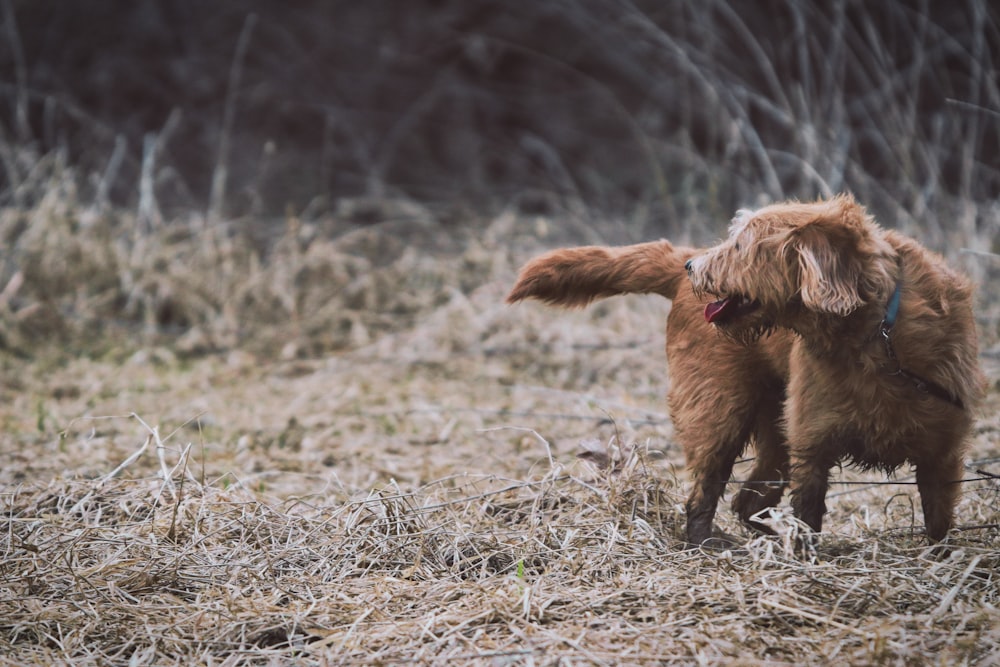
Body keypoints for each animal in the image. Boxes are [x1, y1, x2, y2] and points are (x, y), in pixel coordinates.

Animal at [508, 194, 984, 548]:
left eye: (740, 247)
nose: (694, 267)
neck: (873, 333)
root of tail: (680, 265)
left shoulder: (943, 449)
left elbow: (939, 519)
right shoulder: (812, 443)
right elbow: (808, 512)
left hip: (772, 433)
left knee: (746, 501)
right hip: (719, 412)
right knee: (705, 494)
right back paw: (706, 543)